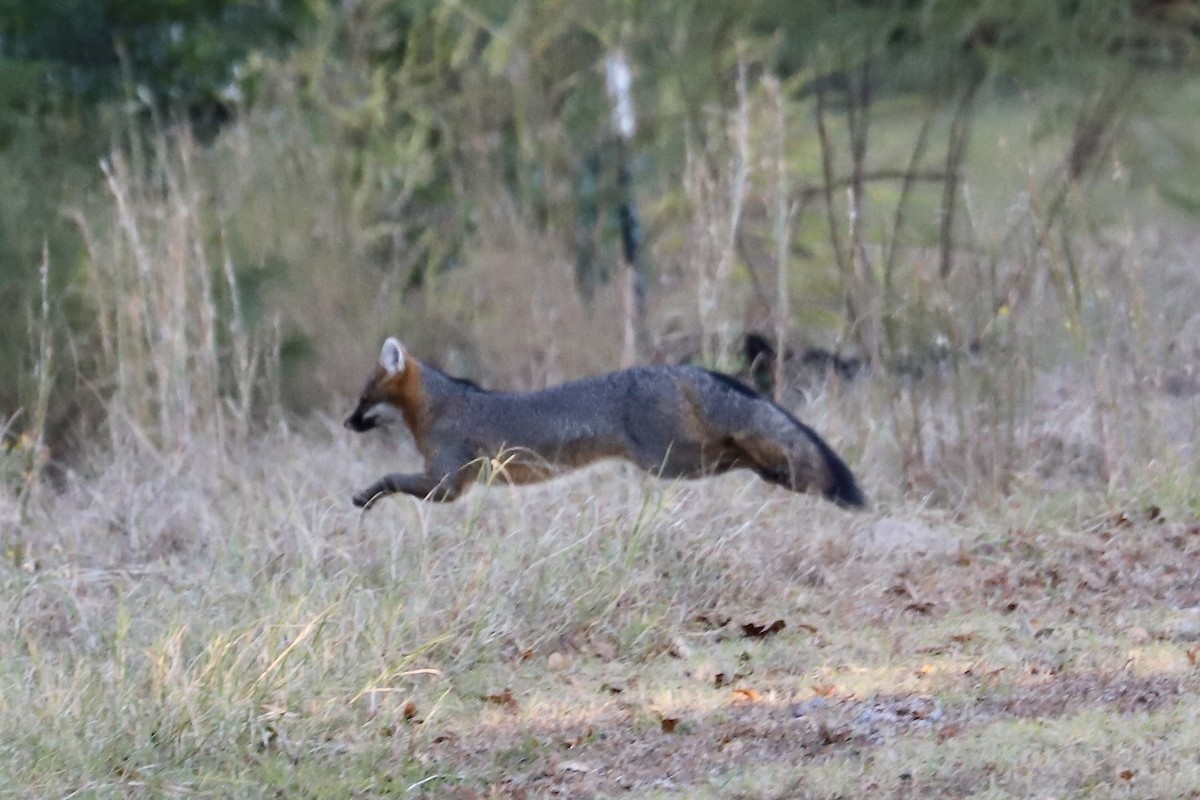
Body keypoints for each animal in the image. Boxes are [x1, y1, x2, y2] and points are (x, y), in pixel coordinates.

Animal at [345, 337, 866, 510]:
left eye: (362, 399)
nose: (346, 423)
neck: (442, 403)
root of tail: (677, 369)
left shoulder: (447, 484)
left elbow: (391, 477)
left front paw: (365, 495)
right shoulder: (449, 483)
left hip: (673, 461)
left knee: (738, 450)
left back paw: (773, 470)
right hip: (674, 461)